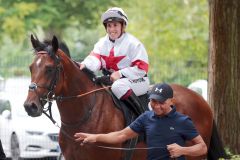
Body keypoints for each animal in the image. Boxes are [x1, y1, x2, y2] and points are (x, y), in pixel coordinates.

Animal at [23, 35, 224, 160]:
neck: (85, 114)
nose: (30, 106)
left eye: (49, 69)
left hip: (194, 153)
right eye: (31, 67)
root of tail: (201, 99)